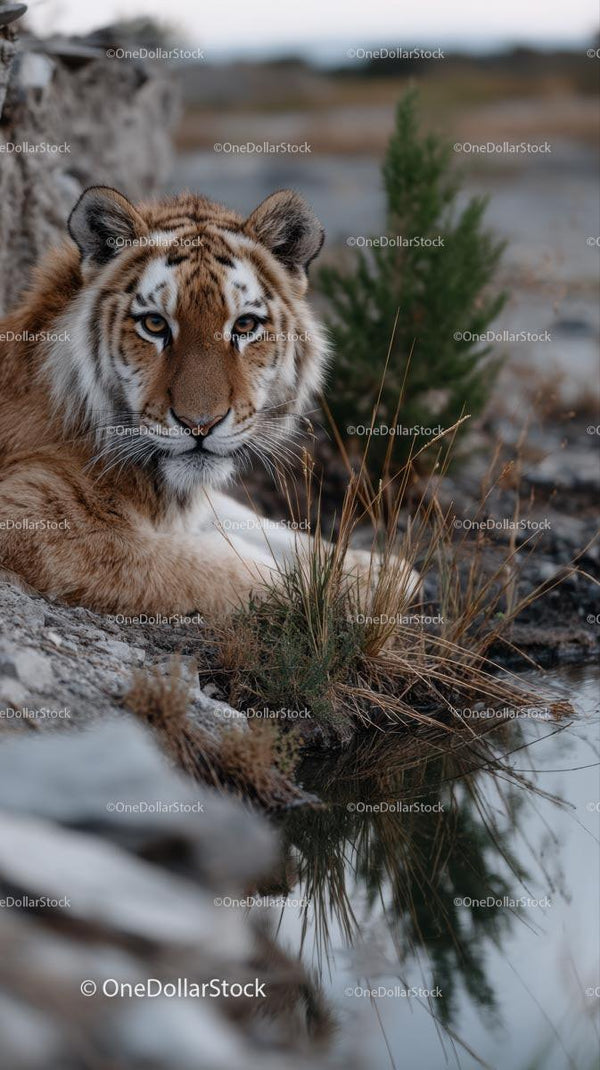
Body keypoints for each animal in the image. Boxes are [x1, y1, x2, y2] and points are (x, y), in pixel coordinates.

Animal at [0, 185, 418, 616]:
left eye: (245, 325)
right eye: (154, 324)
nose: (200, 424)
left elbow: (263, 526)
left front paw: (383, 571)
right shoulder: (35, 516)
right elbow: (230, 571)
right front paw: (340, 589)